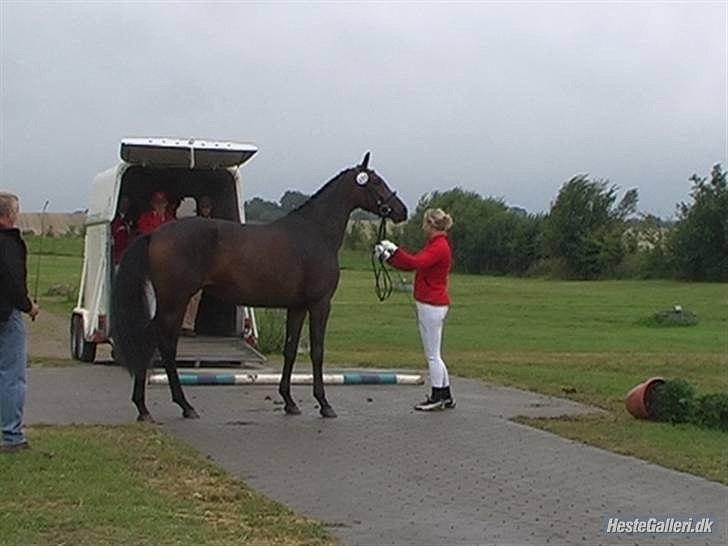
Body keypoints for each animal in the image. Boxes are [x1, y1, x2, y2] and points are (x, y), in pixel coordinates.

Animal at [114, 153, 410, 420]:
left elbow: (290, 350)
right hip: (174, 300)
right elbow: (317, 352)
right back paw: (171, 406)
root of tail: (155, 234)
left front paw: (289, 401)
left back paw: (152, 407)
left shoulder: (297, 307)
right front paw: (324, 404)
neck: (315, 233)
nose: (401, 210)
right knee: (160, 343)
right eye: (376, 182)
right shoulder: (320, 304)